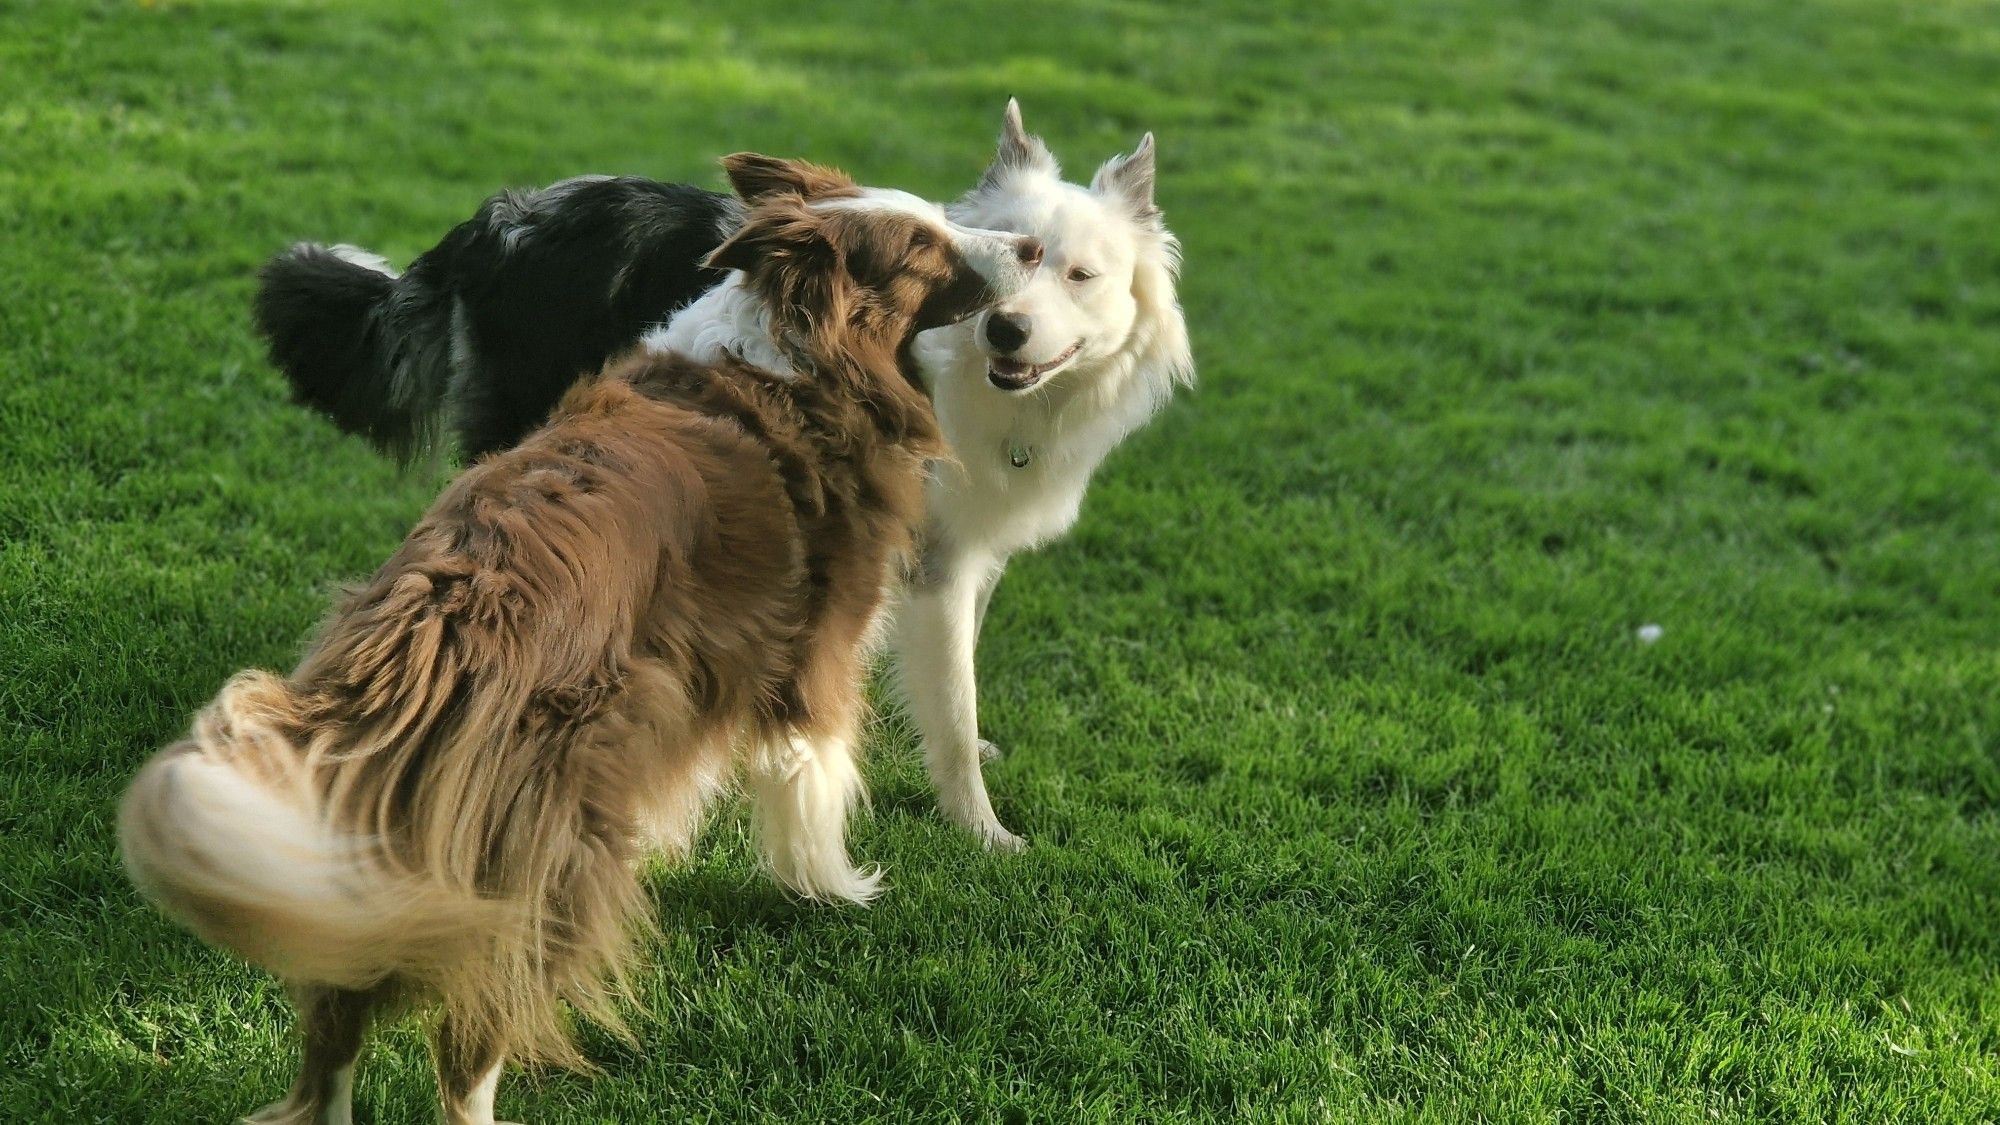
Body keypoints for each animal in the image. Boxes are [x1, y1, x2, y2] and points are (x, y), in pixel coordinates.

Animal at [117, 155, 1040, 1120]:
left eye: (940, 216)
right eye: (925, 248)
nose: (1032, 247)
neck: (787, 356)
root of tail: (427, 640)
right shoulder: (814, 653)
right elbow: (815, 781)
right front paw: (837, 888)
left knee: (331, 1046)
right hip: (534, 867)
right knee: (470, 1047)